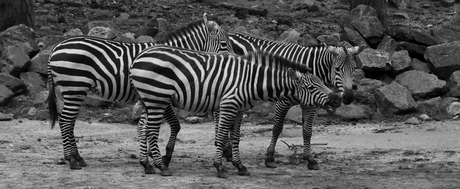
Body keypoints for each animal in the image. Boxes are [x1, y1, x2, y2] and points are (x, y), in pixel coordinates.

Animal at [47, 12, 234, 173]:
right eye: (224, 44)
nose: (234, 62)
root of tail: (55, 48)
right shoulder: (161, 95)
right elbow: (172, 124)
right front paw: (163, 156)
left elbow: (153, 126)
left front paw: (152, 155)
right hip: (74, 87)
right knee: (65, 121)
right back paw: (72, 160)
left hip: (73, 90)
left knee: (69, 122)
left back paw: (78, 157)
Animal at [129, 45, 342, 178]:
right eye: (311, 88)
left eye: (322, 82)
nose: (337, 99)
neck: (251, 80)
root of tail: (139, 57)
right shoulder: (228, 104)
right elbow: (222, 135)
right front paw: (220, 167)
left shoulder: (239, 110)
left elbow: (236, 137)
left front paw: (240, 166)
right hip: (156, 98)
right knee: (151, 131)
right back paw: (161, 166)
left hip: (149, 99)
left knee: (143, 129)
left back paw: (147, 165)